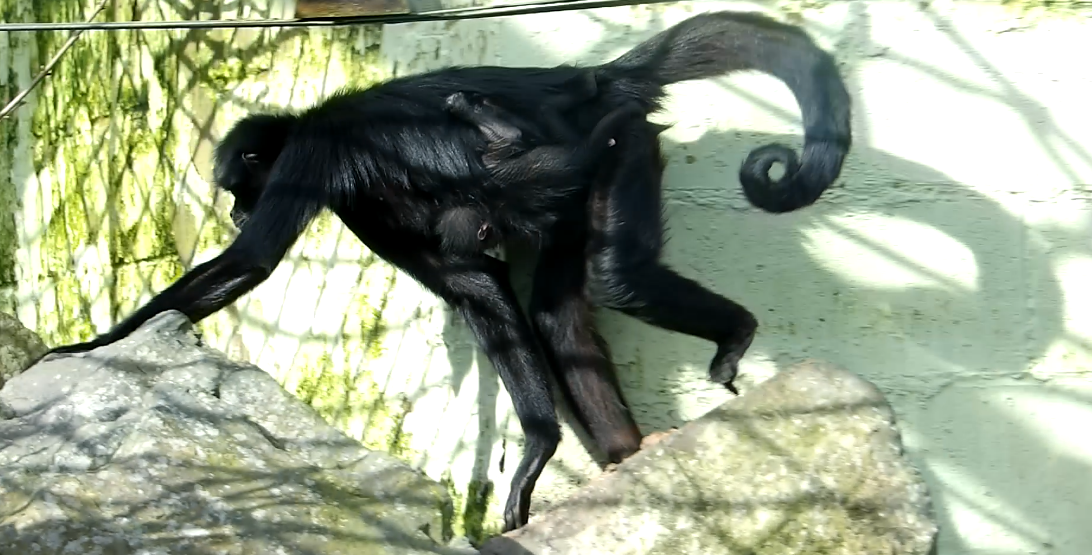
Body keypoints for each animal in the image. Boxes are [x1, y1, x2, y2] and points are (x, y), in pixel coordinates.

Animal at [39, 10, 852, 533]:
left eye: (243, 188)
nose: (237, 209)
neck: (311, 121)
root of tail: (589, 79)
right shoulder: (358, 200)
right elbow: (474, 286)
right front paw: (540, 444)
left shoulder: (316, 158)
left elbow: (250, 264)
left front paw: (88, 347)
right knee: (556, 307)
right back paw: (623, 453)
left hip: (622, 148)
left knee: (613, 269)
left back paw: (734, 331)